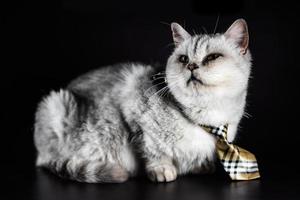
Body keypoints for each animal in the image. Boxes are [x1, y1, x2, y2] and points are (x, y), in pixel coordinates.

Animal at [34, 18, 252, 183]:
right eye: (183, 59)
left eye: (212, 57)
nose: (191, 66)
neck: (208, 119)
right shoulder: (136, 120)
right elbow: (152, 151)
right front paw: (162, 169)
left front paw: (201, 165)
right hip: (55, 104)